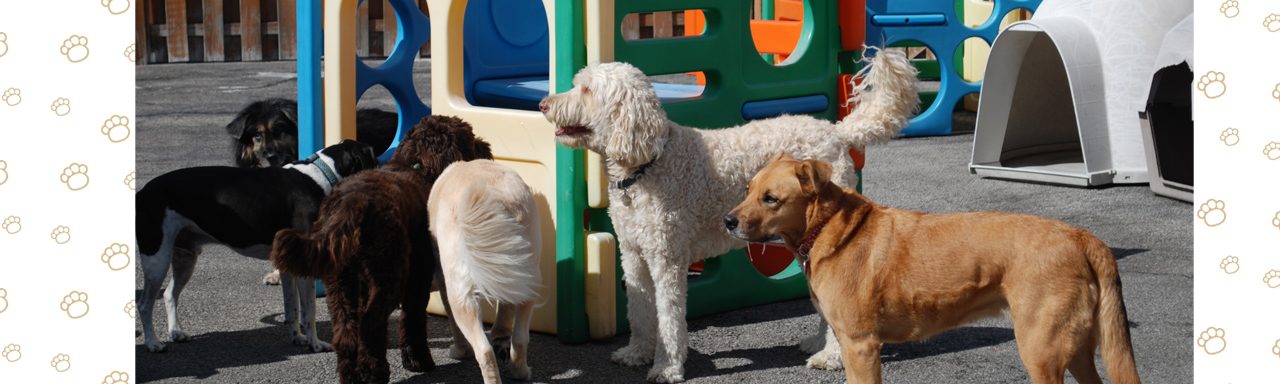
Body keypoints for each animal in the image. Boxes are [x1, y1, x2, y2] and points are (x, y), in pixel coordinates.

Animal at [135, 139, 376, 353]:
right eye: (372, 156)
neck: (322, 175)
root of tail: (143, 192)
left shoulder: (288, 266)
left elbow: (292, 309)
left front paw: (297, 338)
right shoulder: (304, 266)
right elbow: (309, 312)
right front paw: (315, 344)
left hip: (185, 258)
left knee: (169, 294)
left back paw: (176, 332)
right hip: (157, 259)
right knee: (144, 304)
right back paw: (153, 343)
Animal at [270, 115, 488, 381]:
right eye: (471, 138)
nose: (486, 149)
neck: (417, 167)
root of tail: (351, 204)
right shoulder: (418, 277)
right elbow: (413, 320)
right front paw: (418, 361)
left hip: (340, 282)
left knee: (346, 332)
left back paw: (351, 375)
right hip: (388, 276)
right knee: (370, 325)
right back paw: (375, 372)